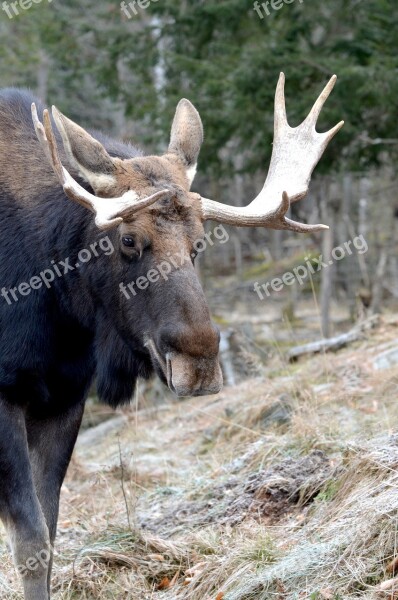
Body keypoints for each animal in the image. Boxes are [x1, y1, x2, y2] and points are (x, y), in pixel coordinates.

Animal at [0, 76, 342, 600]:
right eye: (127, 239)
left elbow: (49, 536)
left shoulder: (64, 398)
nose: (198, 364)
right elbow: (31, 540)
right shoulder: (5, 393)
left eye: (199, 242)